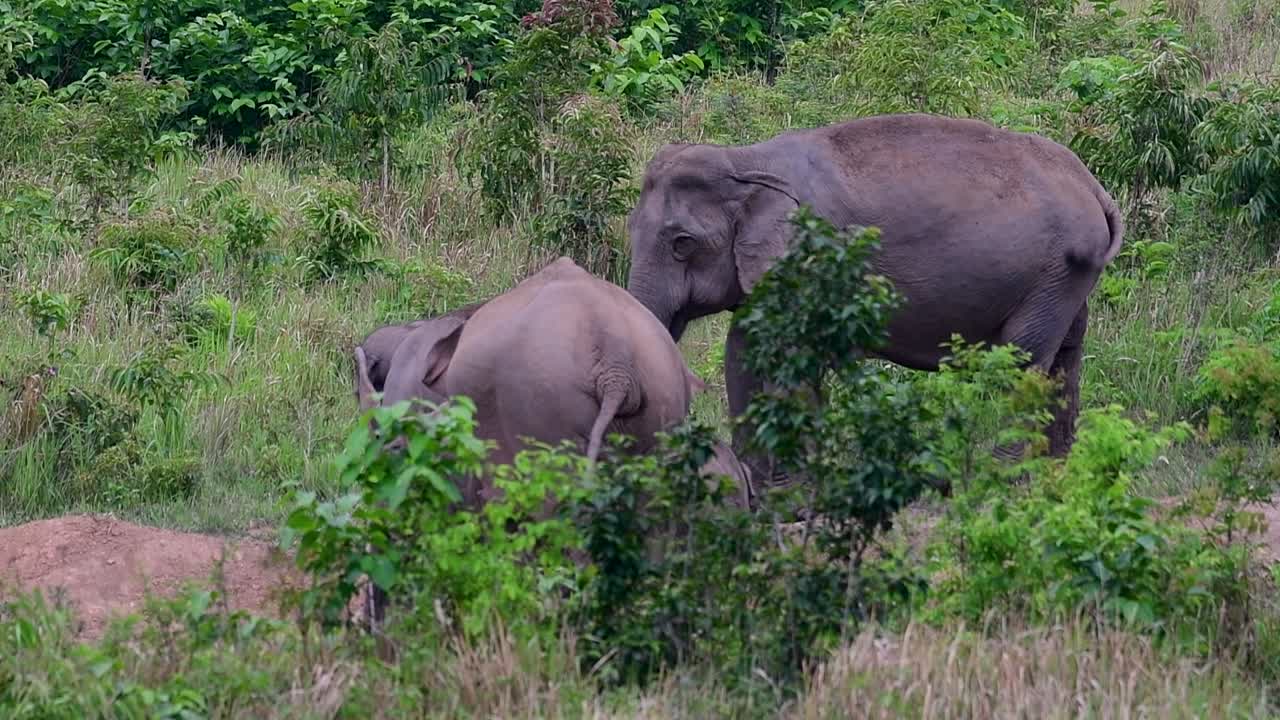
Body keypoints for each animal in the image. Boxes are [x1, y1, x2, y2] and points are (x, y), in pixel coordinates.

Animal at [624, 113, 1125, 493]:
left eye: (682, 244)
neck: (746, 159)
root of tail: (1096, 188)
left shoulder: (814, 259)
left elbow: (792, 362)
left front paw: (799, 491)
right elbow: (743, 352)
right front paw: (759, 487)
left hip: (1051, 275)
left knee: (1022, 362)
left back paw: (998, 478)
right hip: (1064, 281)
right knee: (1065, 356)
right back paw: (1060, 474)